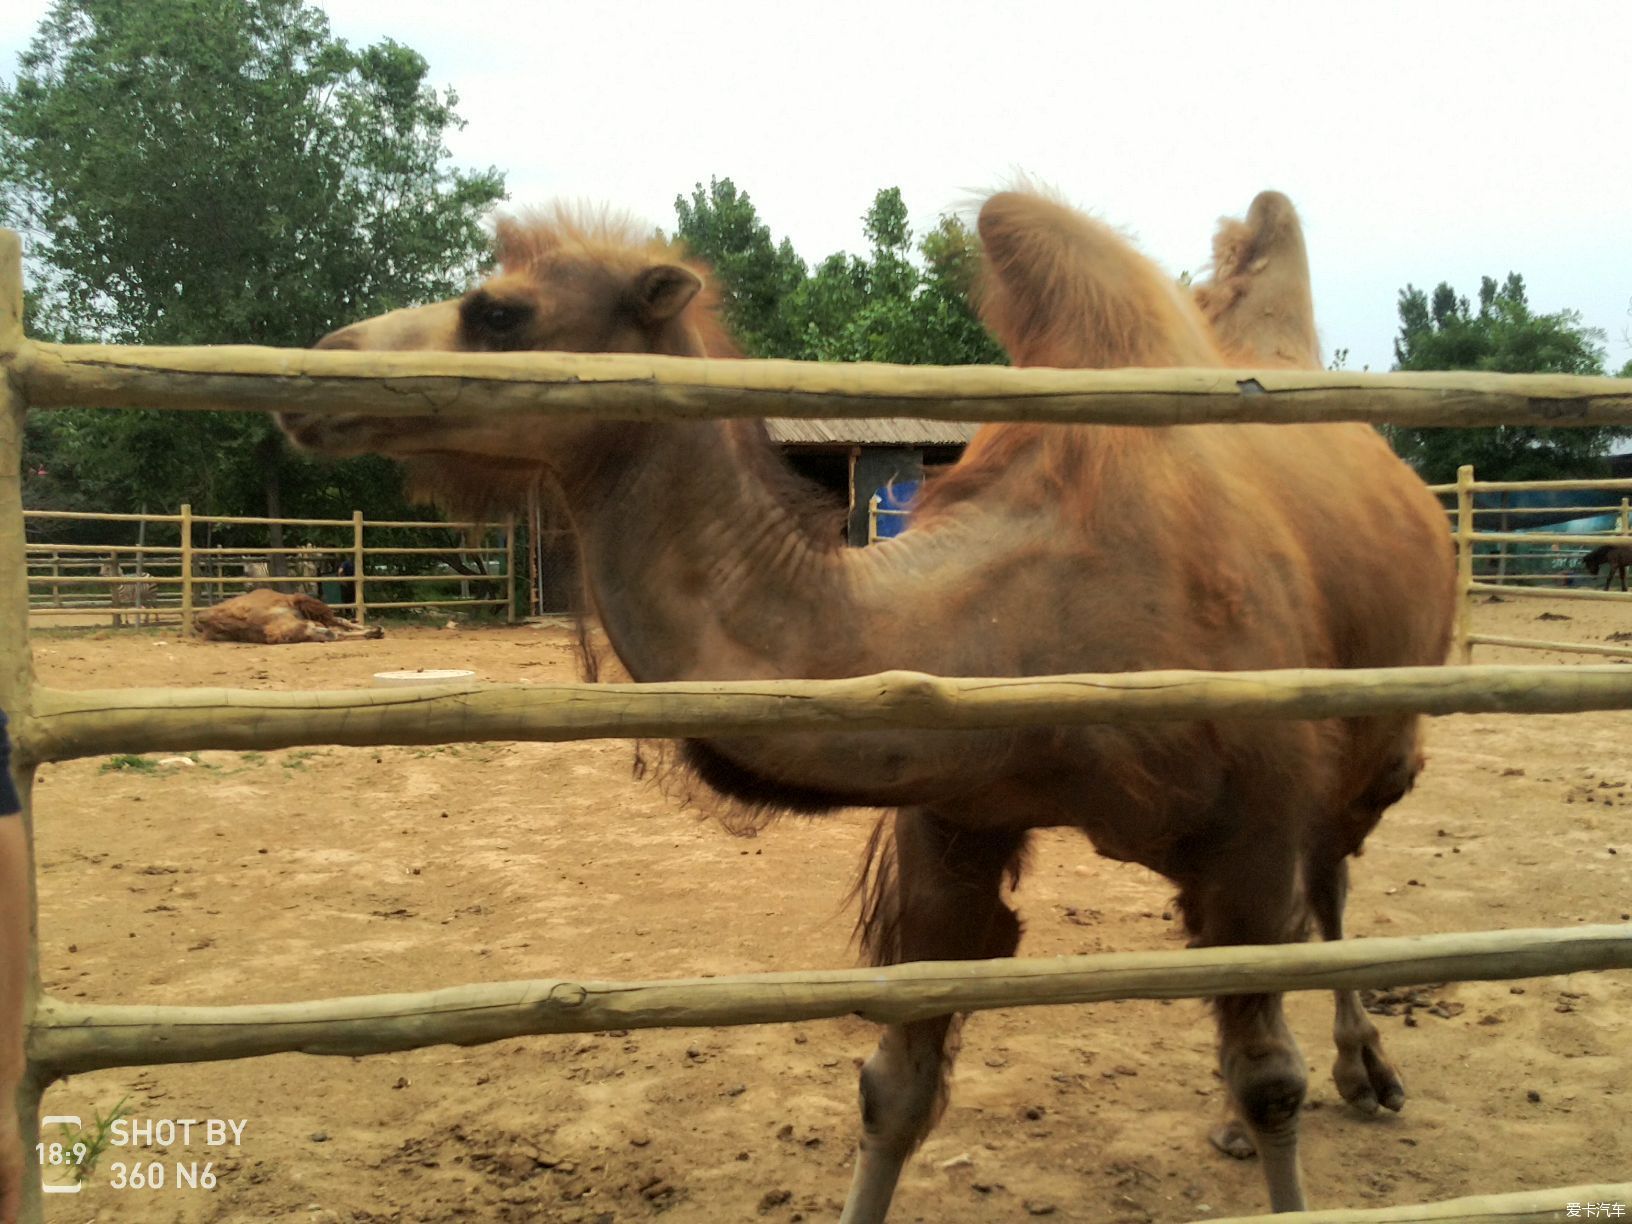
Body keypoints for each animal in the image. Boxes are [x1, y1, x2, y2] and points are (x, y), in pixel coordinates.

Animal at [277, 189, 1455, 1220]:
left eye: (500, 311)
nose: (310, 369)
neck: (1025, 605)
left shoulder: (1253, 821)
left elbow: (1271, 1080)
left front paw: (1293, 1100)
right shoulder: (958, 812)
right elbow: (894, 1089)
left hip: (1373, 741)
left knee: (1332, 880)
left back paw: (1368, 1071)